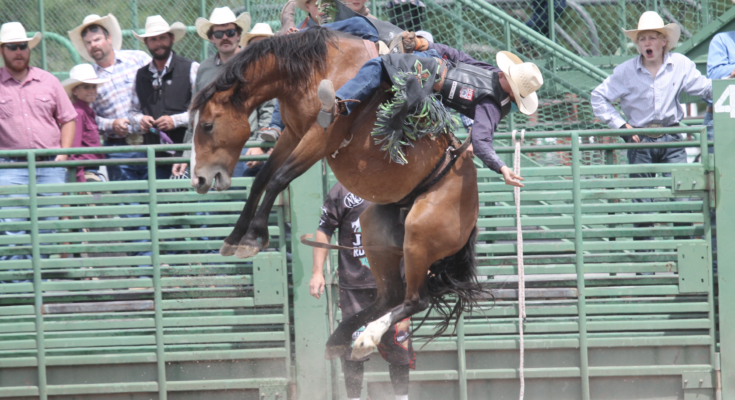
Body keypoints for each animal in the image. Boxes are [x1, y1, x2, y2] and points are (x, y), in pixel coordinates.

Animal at [189, 26, 483, 360]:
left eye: (208, 126)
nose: (199, 179)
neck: (317, 70)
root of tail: (472, 215)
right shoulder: (293, 134)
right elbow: (262, 178)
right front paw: (235, 238)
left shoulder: (321, 137)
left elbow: (278, 179)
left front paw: (253, 238)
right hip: (377, 231)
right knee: (390, 295)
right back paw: (341, 337)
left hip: (420, 236)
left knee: (415, 299)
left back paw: (366, 338)